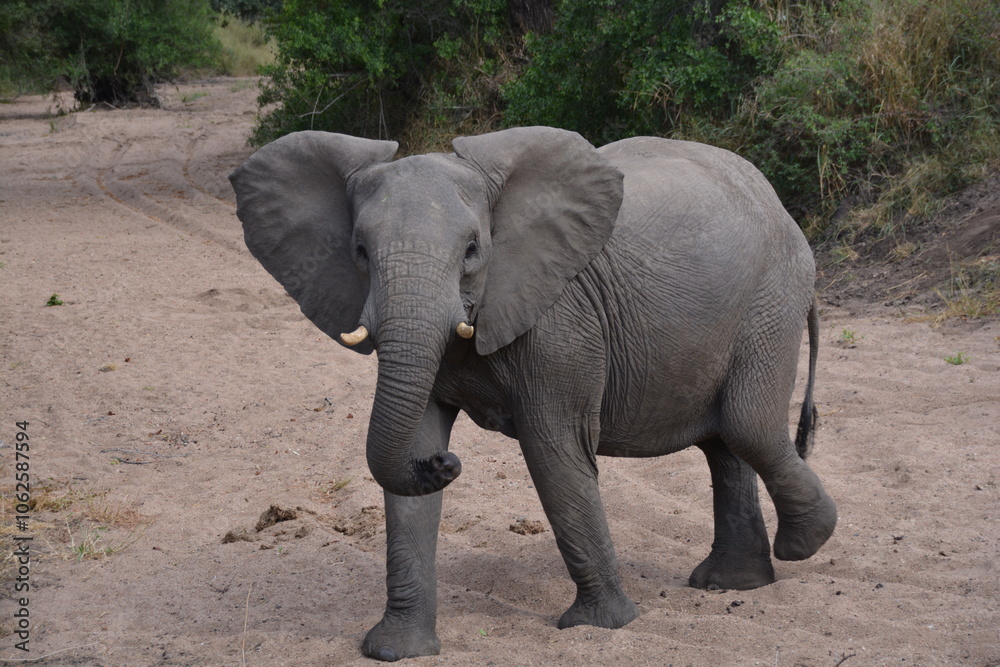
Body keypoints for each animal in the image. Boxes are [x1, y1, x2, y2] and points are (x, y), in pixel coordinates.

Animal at [229, 126, 837, 661]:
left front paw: (600, 626)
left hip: (770, 298)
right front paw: (394, 650)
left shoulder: (560, 319)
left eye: (473, 251)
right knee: (724, 442)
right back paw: (732, 583)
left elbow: (553, 451)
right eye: (358, 251)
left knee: (745, 425)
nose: (447, 463)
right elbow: (410, 458)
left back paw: (803, 544)